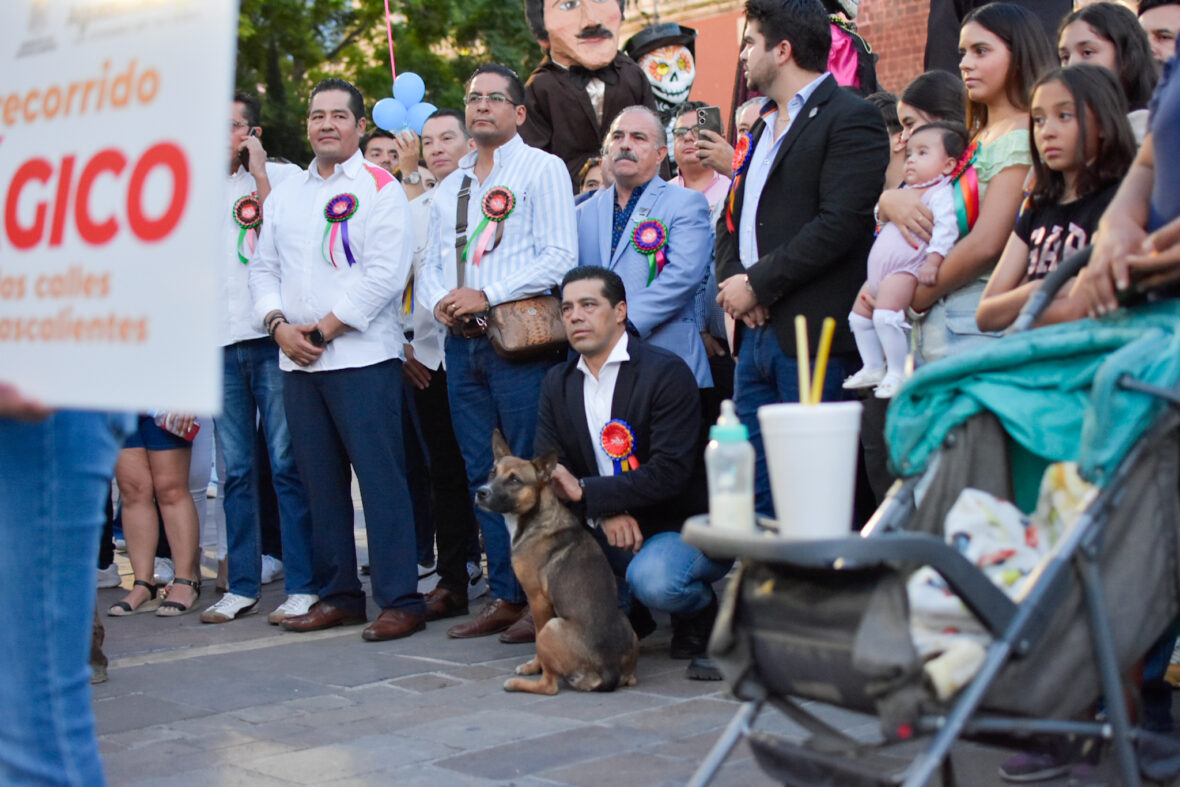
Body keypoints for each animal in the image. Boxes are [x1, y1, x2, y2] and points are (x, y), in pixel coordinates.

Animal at [474, 431, 641, 693]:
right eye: (492, 473)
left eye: (515, 480)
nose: (481, 492)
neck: (537, 516)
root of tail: (608, 670)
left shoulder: (537, 600)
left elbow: (536, 640)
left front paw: (533, 666)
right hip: (627, 628)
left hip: (551, 628)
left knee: (549, 686)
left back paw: (518, 683)